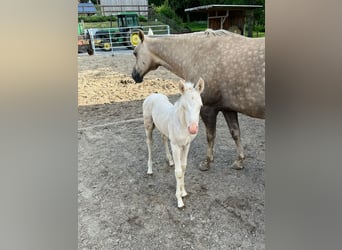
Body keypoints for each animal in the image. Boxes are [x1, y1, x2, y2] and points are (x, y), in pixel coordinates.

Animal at [132, 28, 266, 170]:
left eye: (135, 53)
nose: (134, 75)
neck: (196, 53)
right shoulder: (228, 109)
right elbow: (235, 133)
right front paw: (239, 161)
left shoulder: (208, 109)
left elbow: (210, 136)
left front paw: (207, 162)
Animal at [143, 77, 204, 207]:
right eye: (184, 106)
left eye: (200, 106)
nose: (193, 129)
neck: (182, 124)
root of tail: (153, 95)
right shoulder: (175, 146)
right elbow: (178, 171)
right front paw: (179, 200)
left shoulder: (186, 145)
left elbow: (184, 167)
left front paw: (184, 192)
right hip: (148, 126)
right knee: (149, 143)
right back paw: (150, 169)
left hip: (163, 128)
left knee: (164, 138)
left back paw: (170, 161)